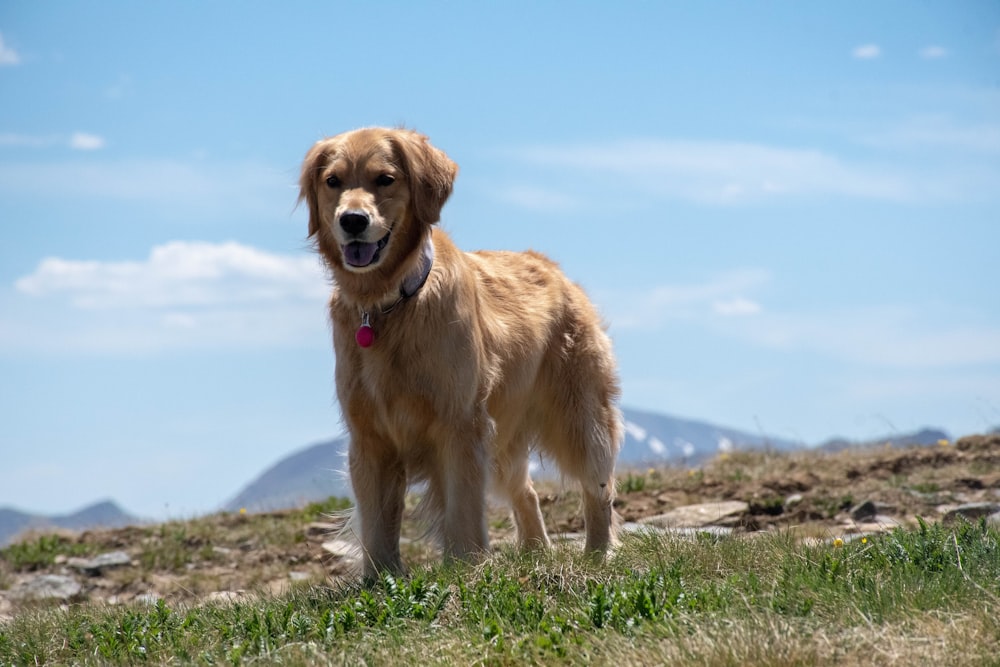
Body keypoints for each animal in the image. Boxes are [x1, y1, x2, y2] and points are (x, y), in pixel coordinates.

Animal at [300, 128, 620, 576]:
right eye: (333, 181)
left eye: (385, 179)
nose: (352, 220)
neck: (391, 303)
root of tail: (553, 269)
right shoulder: (370, 437)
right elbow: (378, 521)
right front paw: (380, 579)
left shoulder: (460, 423)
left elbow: (462, 509)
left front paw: (465, 567)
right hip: (506, 438)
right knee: (526, 492)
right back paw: (536, 553)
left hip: (579, 418)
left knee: (599, 487)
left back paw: (597, 554)